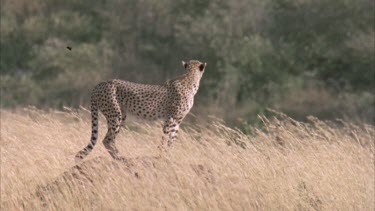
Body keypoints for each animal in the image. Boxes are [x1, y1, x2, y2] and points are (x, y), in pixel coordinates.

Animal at [75, 59, 207, 162]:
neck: (190, 79)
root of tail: (100, 84)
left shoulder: (178, 120)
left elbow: (172, 139)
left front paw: (168, 156)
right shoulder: (170, 118)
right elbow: (164, 138)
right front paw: (161, 155)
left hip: (121, 115)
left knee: (109, 139)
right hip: (115, 115)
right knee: (107, 140)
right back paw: (121, 158)